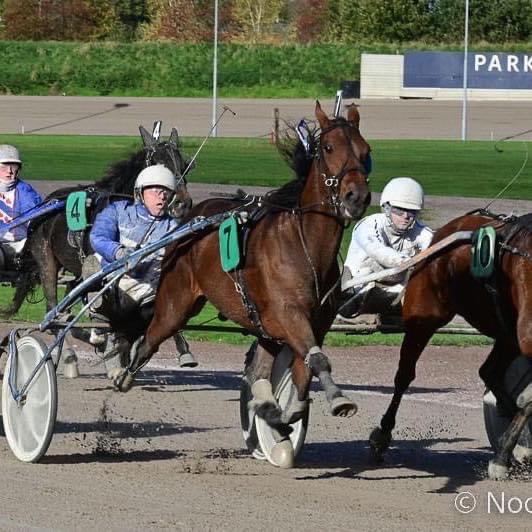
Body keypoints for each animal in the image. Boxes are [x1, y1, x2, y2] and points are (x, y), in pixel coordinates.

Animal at [113, 101, 370, 466]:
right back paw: (124, 373)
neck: (305, 246)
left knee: (259, 369)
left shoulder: (313, 324)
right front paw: (338, 400)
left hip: (263, 326)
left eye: (366, 151)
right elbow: (317, 361)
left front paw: (283, 415)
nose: (356, 196)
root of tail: (192, 217)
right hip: (177, 302)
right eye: (329, 148)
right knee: (150, 337)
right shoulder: (290, 314)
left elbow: (304, 369)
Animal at [368, 210, 532, 480]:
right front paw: (500, 459)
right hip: (424, 317)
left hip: (506, 334)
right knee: (404, 376)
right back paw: (382, 436)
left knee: (489, 372)